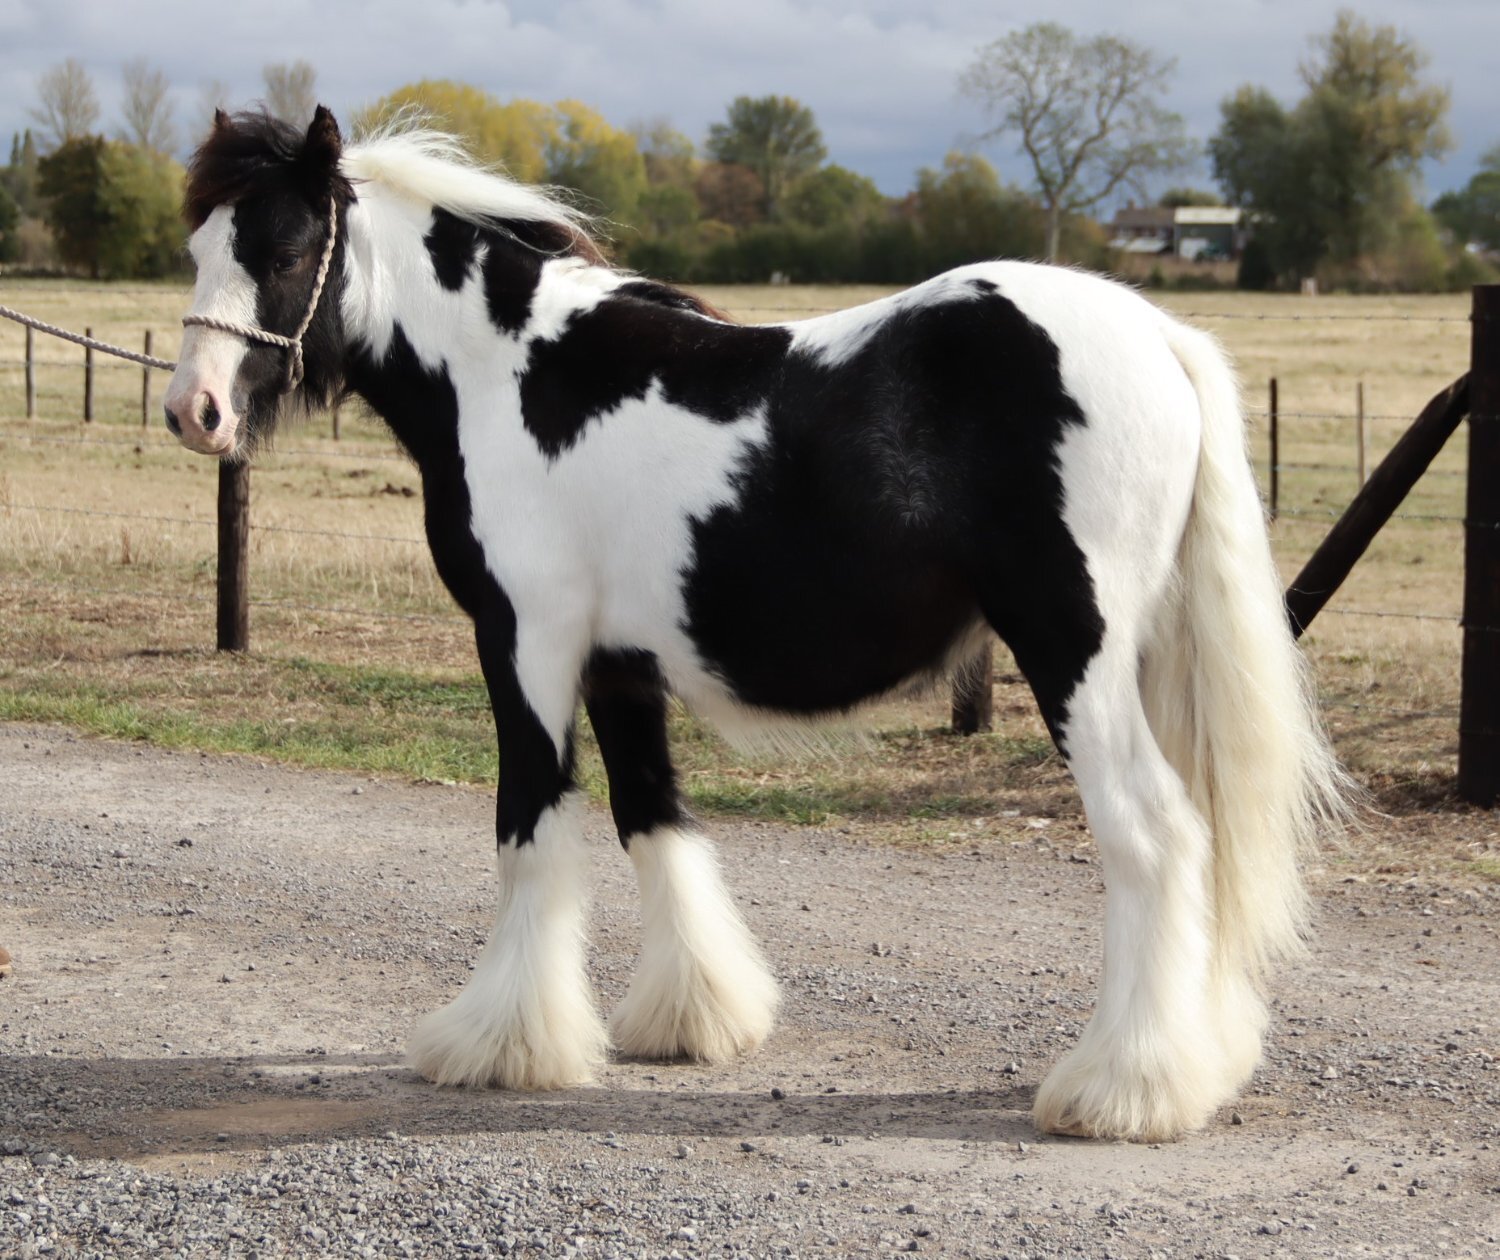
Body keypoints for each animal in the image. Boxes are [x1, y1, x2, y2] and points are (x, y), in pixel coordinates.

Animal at [162, 107, 1345, 1142]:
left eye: (283, 246)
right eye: (198, 246)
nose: (193, 413)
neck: (510, 375)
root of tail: (1158, 336)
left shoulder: (525, 644)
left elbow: (529, 827)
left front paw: (502, 1044)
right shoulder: (618, 665)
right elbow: (653, 819)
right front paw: (691, 1020)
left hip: (1076, 656)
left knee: (1154, 835)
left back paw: (1122, 1090)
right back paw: (1192, 1062)